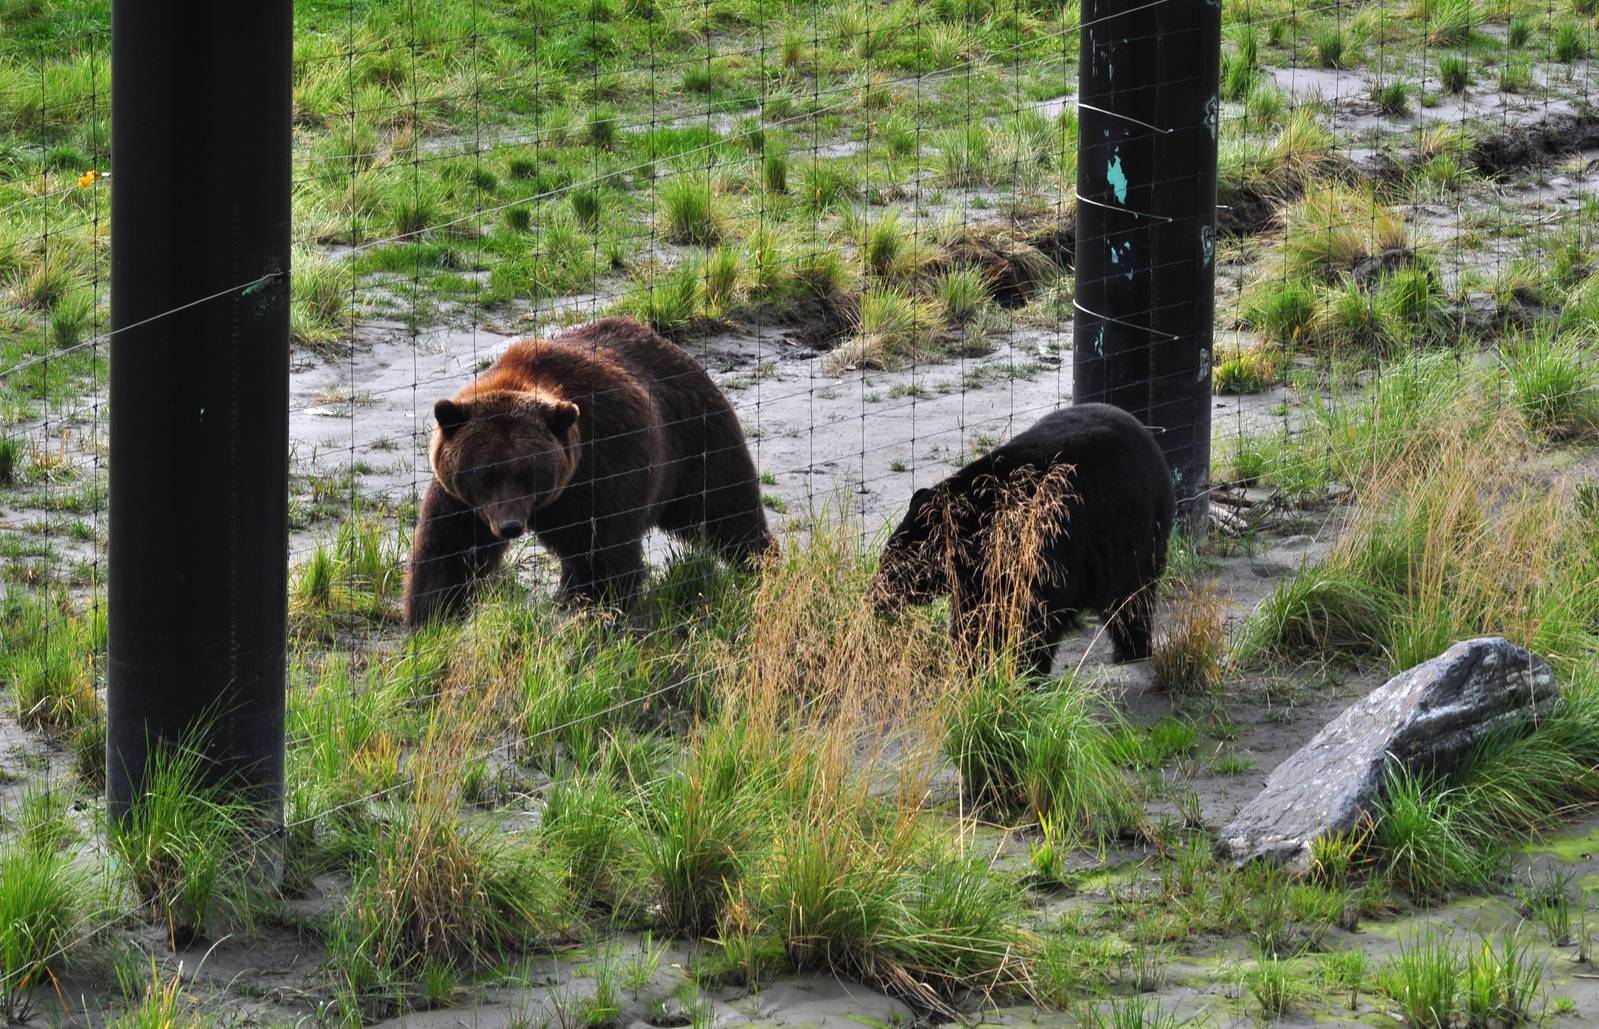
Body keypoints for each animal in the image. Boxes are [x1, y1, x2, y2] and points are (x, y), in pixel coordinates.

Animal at [403, 316, 773, 626]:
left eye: (527, 472)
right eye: (486, 472)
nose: (510, 526)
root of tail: (675, 349)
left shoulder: (603, 471)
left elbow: (605, 557)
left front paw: (599, 614)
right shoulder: (464, 502)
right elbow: (447, 553)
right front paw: (432, 619)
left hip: (695, 443)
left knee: (729, 509)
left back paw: (760, 566)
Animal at [869, 403, 1175, 676]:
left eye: (895, 563)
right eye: (886, 556)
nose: (874, 598)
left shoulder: (1045, 550)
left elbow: (1033, 618)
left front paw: (1022, 672)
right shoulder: (980, 577)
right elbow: (976, 617)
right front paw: (974, 665)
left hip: (1138, 535)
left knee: (1132, 600)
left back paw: (1131, 651)